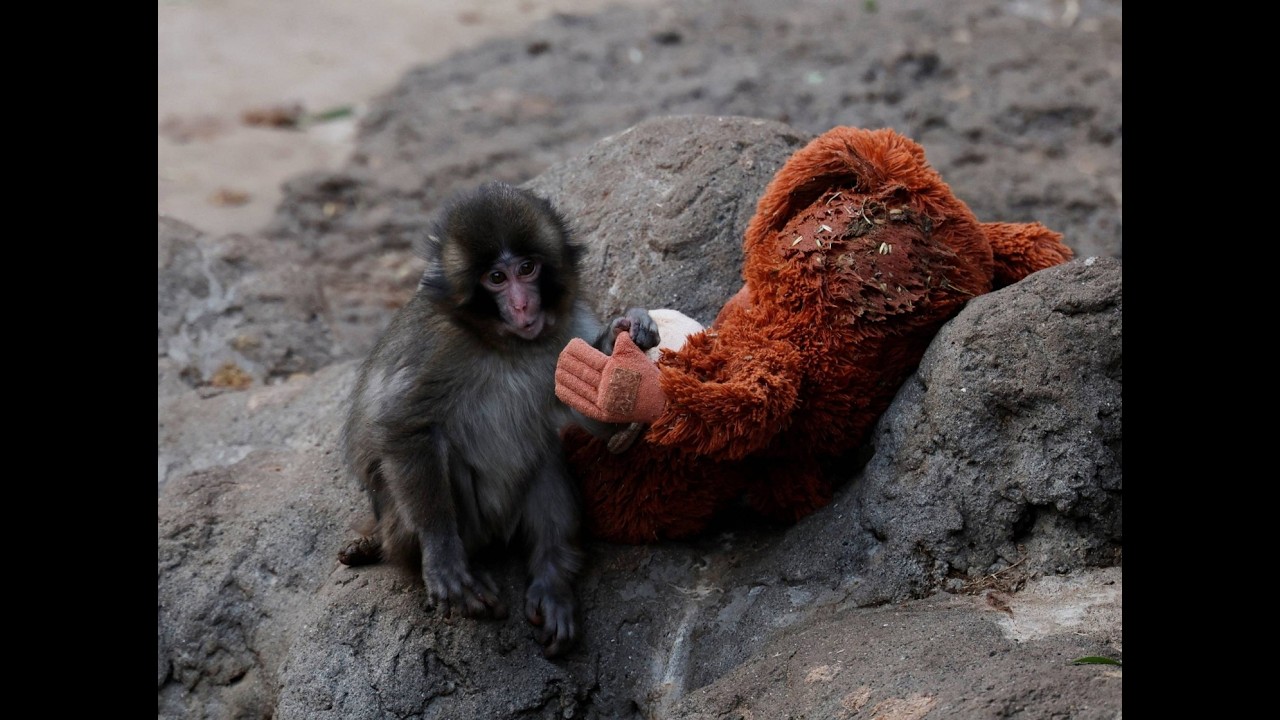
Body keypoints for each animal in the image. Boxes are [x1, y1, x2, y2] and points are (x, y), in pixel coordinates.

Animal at [337, 180, 657, 658]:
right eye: (496, 279)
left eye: (527, 268)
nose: (523, 306)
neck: (504, 344)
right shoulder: (437, 346)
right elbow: (405, 427)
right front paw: (442, 555)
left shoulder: (567, 329)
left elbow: (584, 406)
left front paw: (628, 326)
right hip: (413, 526)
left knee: (545, 459)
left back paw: (551, 576)